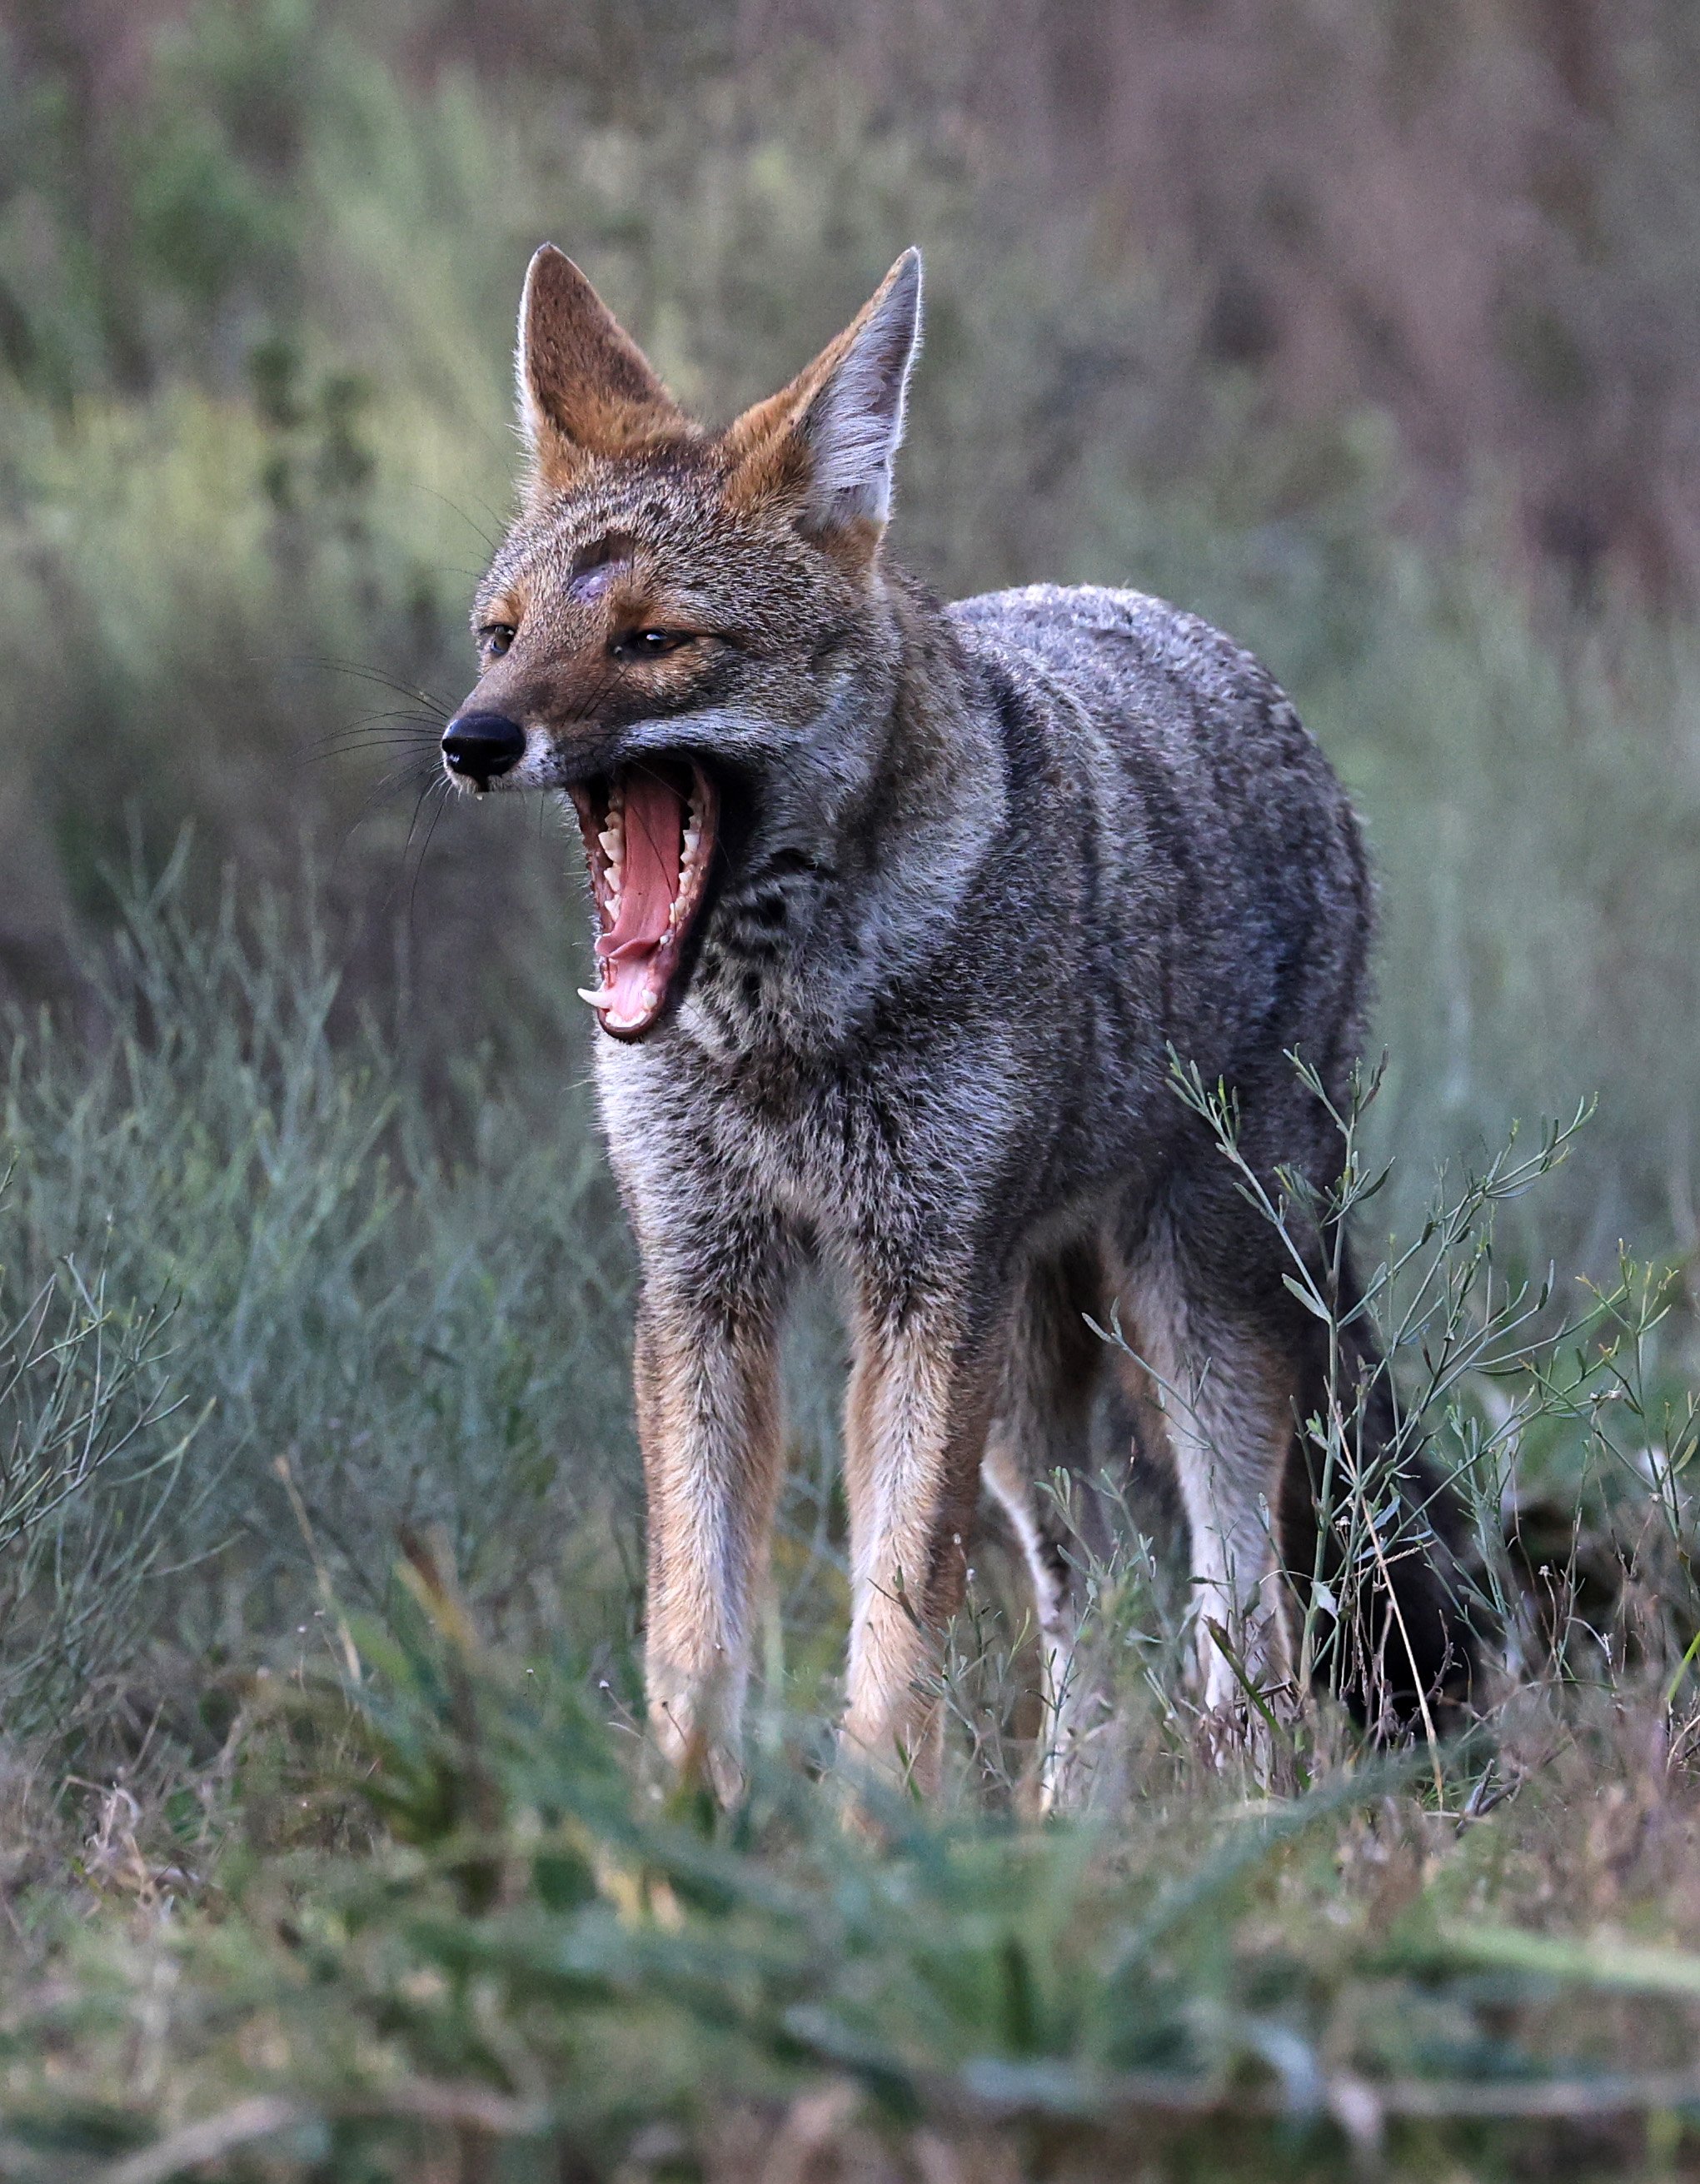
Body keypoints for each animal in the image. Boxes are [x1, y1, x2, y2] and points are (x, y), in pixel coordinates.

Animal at [440, 242, 1476, 1800]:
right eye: (503, 640)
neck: (776, 1032)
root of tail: (1214, 649)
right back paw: (1071, 1825)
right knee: (1086, 1605)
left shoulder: (924, 1290)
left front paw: (875, 1829)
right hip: (1034, 1394)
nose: (472, 740)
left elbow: (897, 1613)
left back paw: (1242, 1807)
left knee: (1243, 1604)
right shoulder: (701, 1285)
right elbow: (693, 1626)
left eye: (652, 641)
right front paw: (677, 1837)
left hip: (1195, 1304)